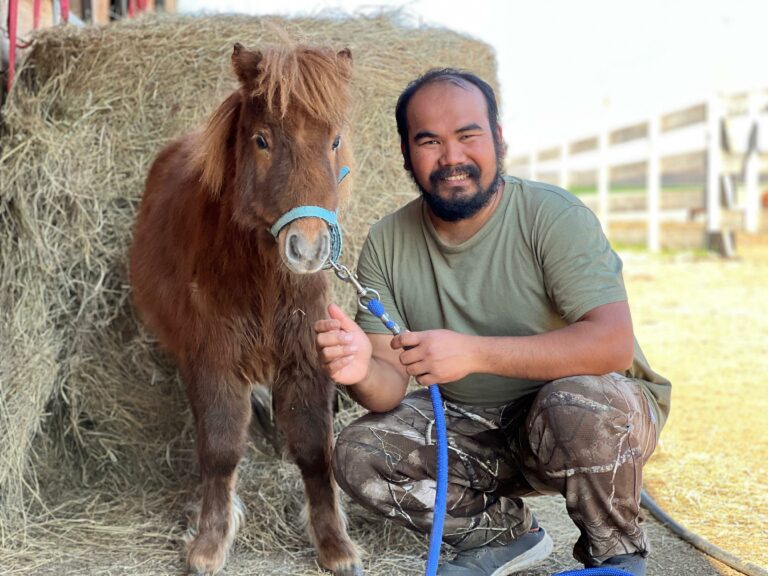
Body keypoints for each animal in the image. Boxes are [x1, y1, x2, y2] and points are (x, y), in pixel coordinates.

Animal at [129, 43, 361, 576]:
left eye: (335, 140)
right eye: (262, 140)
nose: (308, 248)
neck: (263, 277)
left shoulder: (307, 358)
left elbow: (315, 449)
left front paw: (335, 545)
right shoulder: (213, 361)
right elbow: (219, 450)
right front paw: (209, 545)